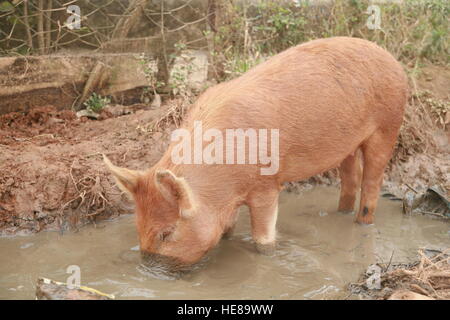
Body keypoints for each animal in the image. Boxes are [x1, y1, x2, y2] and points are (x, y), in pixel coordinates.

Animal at [104, 37, 408, 272]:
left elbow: (263, 238)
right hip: (347, 145)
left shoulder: (267, 185)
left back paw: (362, 222)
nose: (150, 271)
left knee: (372, 184)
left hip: (388, 125)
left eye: (166, 233)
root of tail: (393, 60)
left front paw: (266, 254)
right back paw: (340, 213)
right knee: (350, 178)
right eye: (138, 226)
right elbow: (227, 229)